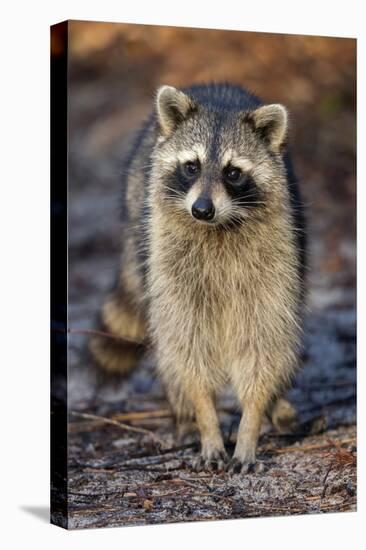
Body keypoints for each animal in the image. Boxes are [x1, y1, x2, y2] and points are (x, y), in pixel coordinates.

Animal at [89, 82, 306, 474]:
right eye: (192, 166)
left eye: (233, 173)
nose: (201, 209)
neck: (218, 227)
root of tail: (211, 85)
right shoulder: (170, 264)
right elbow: (187, 348)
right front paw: (206, 420)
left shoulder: (274, 263)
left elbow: (263, 344)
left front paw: (251, 422)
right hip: (142, 236)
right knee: (167, 341)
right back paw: (183, 414)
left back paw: (277, 406)